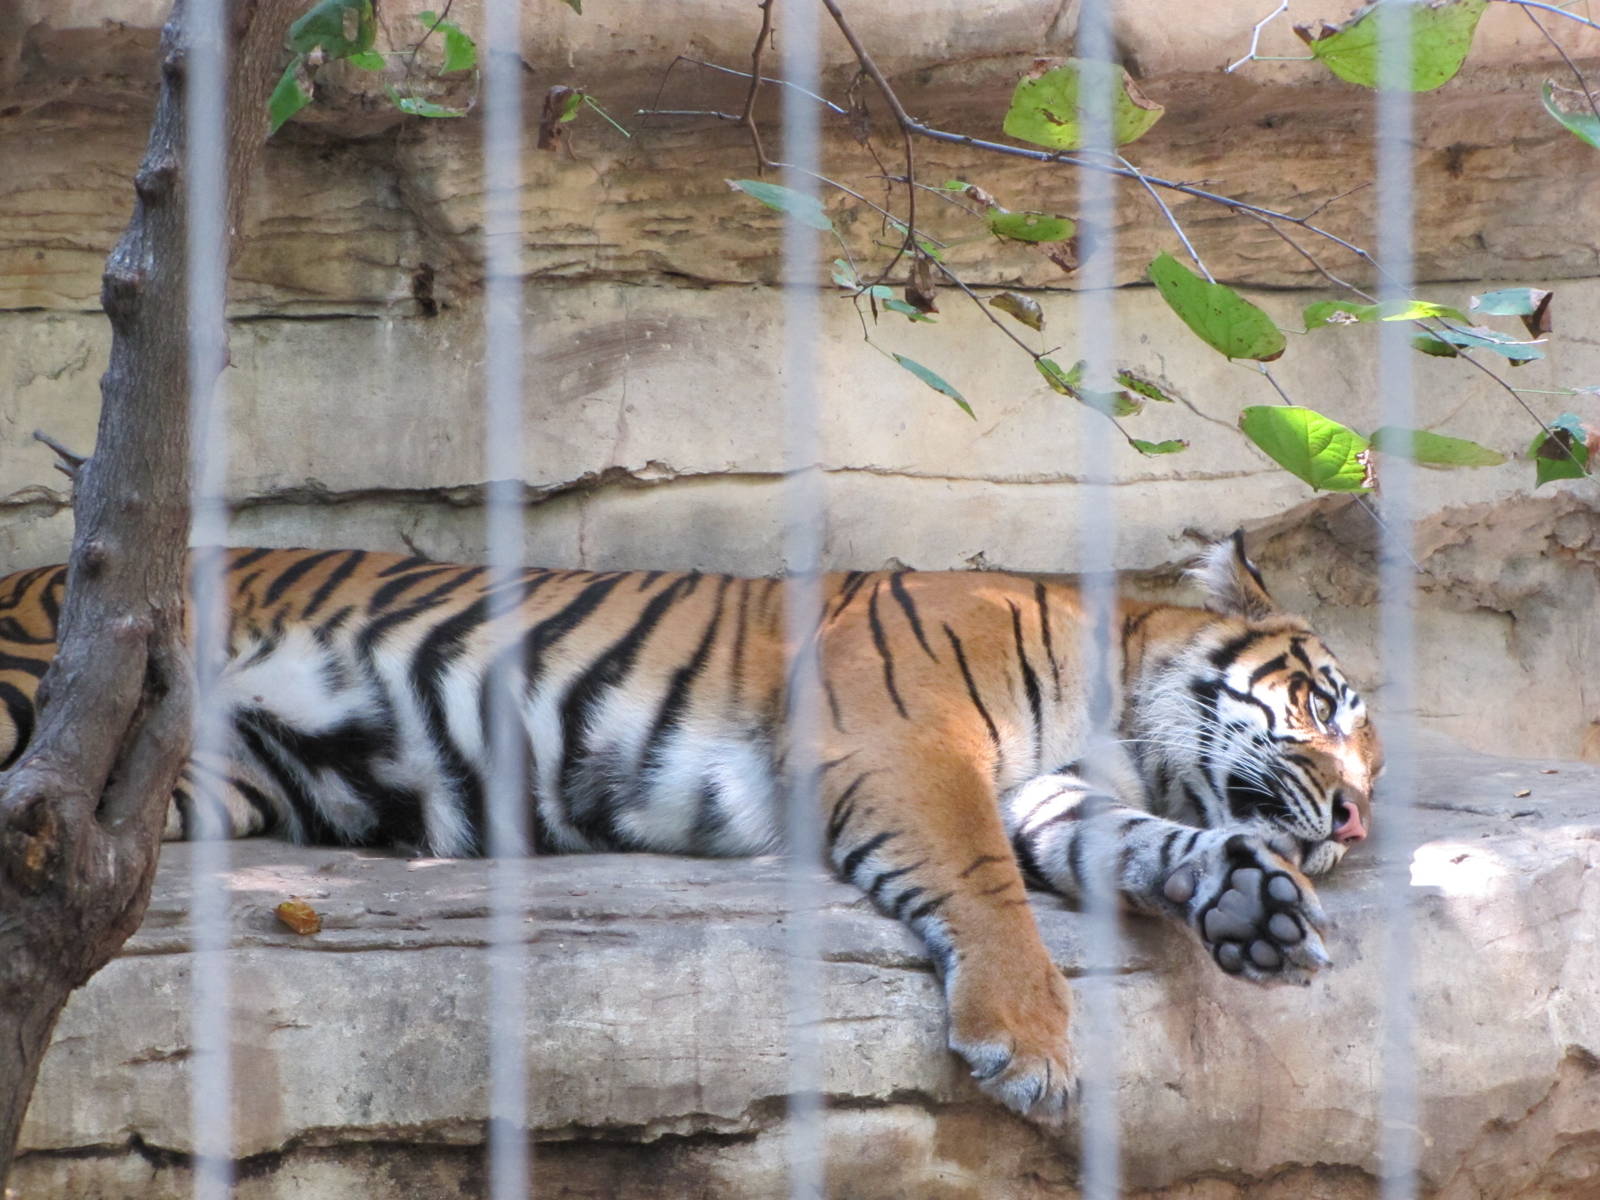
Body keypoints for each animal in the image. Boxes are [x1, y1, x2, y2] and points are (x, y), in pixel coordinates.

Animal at [0, 533, 1379, 1123]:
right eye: (1324, 708)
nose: (1355, 823)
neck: (1117, 702)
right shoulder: (907, 743)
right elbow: (984, 886)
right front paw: (1028, 1047)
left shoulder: (1045, 790)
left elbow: (1145, 843)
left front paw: (1253, 909)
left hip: (192, 786)